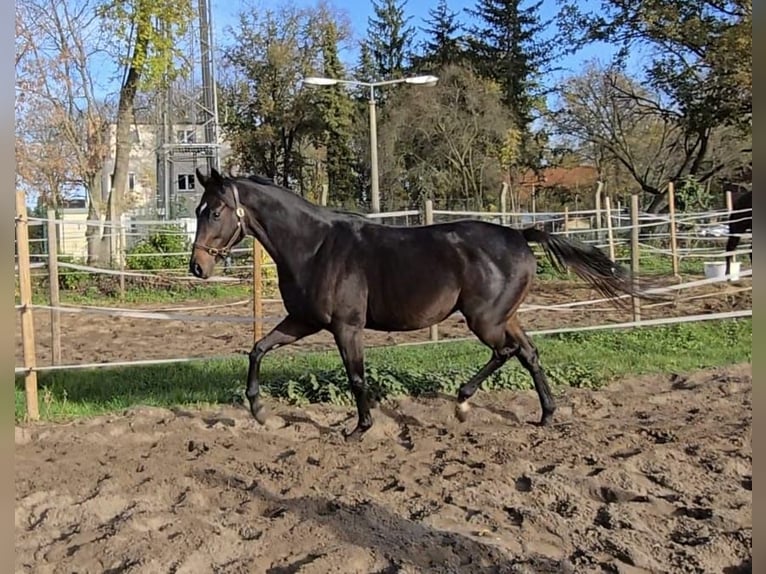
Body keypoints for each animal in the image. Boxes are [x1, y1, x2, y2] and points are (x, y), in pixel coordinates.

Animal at [189, 169, 656, 444]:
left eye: (215, 211)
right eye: (197, 209)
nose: (198, 267)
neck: (316, 247)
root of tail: (521, 235)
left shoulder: (345, 326)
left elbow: (356, 378)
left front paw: (359, 428)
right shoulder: (304, 320)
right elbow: (258, 349)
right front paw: (259, 411)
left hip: (485, 320)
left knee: (507, 351)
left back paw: (463, 402)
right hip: (504, 317)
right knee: (528, 352)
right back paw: (545, 415)